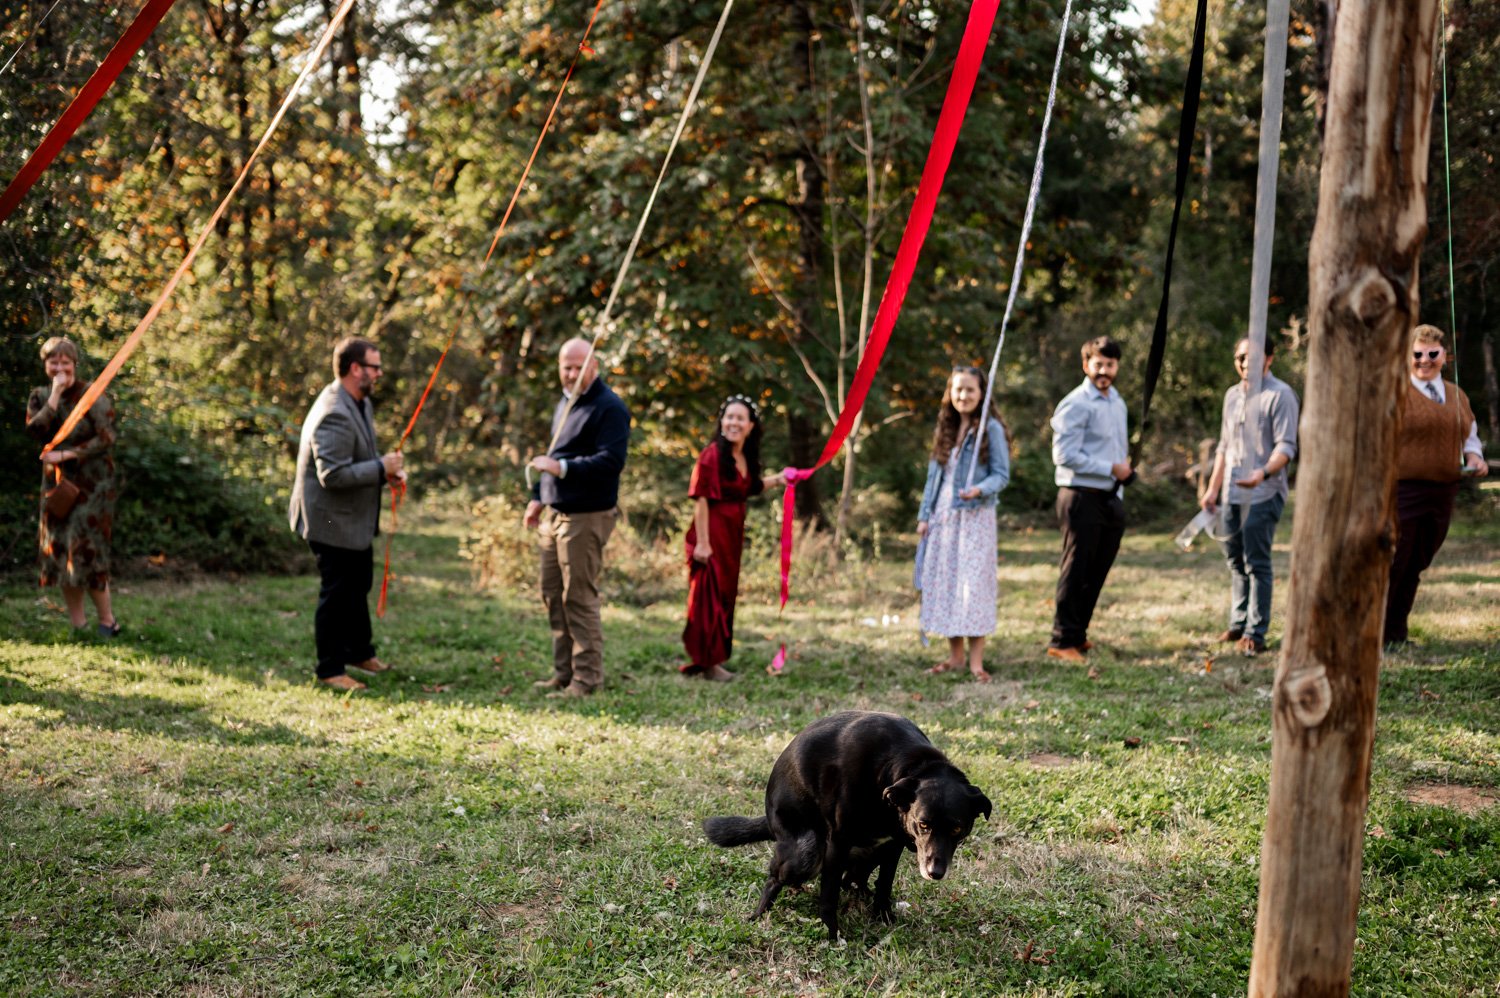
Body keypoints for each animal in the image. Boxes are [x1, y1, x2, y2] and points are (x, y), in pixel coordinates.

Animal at [705, 708, 996, 936]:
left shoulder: (894, 844)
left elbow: (884, 884)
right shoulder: (838, 842)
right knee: (776, 877)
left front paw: (883, 917)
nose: (935, 873)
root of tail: (768, 816)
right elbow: (829, 894)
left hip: (870, 850)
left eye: (957, 828)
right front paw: (832, 933)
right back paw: (760, 913)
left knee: (852, 878)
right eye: (924, 825)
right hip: (806, 851)